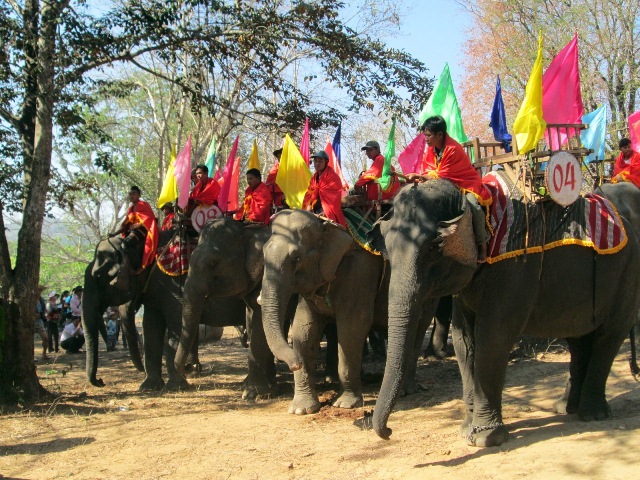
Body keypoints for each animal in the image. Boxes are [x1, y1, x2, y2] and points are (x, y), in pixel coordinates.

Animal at [82, 229, 245, 390]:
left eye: (98, 276)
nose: (101, 381)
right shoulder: (155, 290)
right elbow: (151, 327)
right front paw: (148, 387)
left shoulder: (174, 286)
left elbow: (177, 324)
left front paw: (176, 386)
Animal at [260, 210, 436, 416]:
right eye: (263, 253)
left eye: (296, 257)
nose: (295, 364)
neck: (325, 224)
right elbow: (303, 330)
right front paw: (301, 410)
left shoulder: (360, 272)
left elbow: (352, 328)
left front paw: (345, 404)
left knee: (418, 329)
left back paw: (405, 391)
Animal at [368, 179, 640, 446]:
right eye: (387, 249)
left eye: (434, 248)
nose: (389, 431)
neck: (474, 200)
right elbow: (464, 343)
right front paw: (467, 431)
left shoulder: (515, 271)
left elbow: (493, 341)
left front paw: (486, 438)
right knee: (578, 338)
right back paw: (565, 408)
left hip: (626, 275)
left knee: (608, 337)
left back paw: (592, 414)